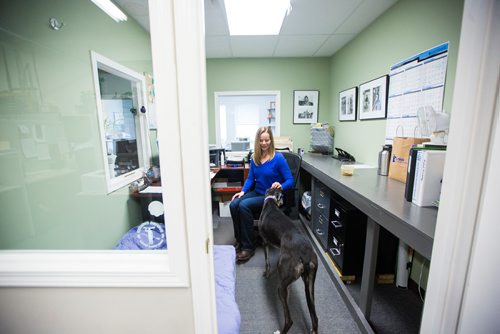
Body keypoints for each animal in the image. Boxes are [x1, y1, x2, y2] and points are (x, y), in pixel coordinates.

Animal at [260, 188, 318, 334]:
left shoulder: (264, 242)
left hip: (281, 288)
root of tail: (304, 255)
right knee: (315, 317)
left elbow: (267, 261)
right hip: (309, 284)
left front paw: (266, 274)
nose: (283, 202)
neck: (270, 201)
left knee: (289, 320)